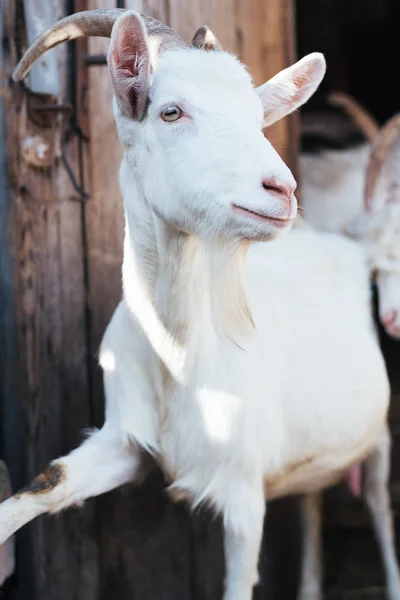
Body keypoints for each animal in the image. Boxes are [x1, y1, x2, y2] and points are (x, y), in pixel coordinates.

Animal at [0, 10, 396, 600]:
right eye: (171, 111)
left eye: (258, 117)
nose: (281, 189)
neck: (179, 359)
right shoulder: (121, 443)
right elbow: (46, 485)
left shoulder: (243, 494)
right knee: (311, 500)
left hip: (378, 433)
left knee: (377, 503)